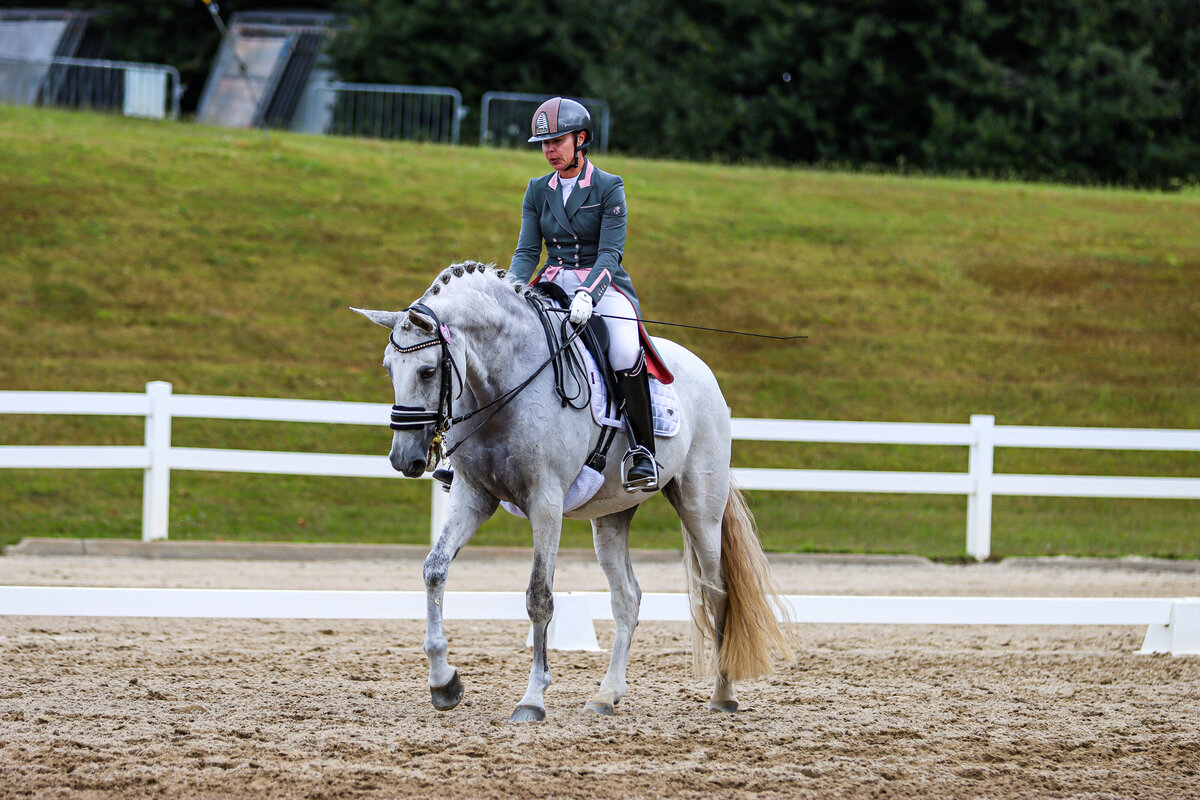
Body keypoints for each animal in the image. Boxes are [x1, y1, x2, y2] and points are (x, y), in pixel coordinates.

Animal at [353, 261, 793, 722]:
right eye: (388, 368)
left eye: (427, 371)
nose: (404, 459)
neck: (504, 381)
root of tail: (703, 371)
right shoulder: (473, 495)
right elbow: (435, 569)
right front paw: (444, 683)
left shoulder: (544, 502)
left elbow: (539, 597)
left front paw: (532, 699)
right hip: (612, 515)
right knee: (628, 598)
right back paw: (606, 695)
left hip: (700, 508)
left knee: (716, 589)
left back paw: (723, 694)